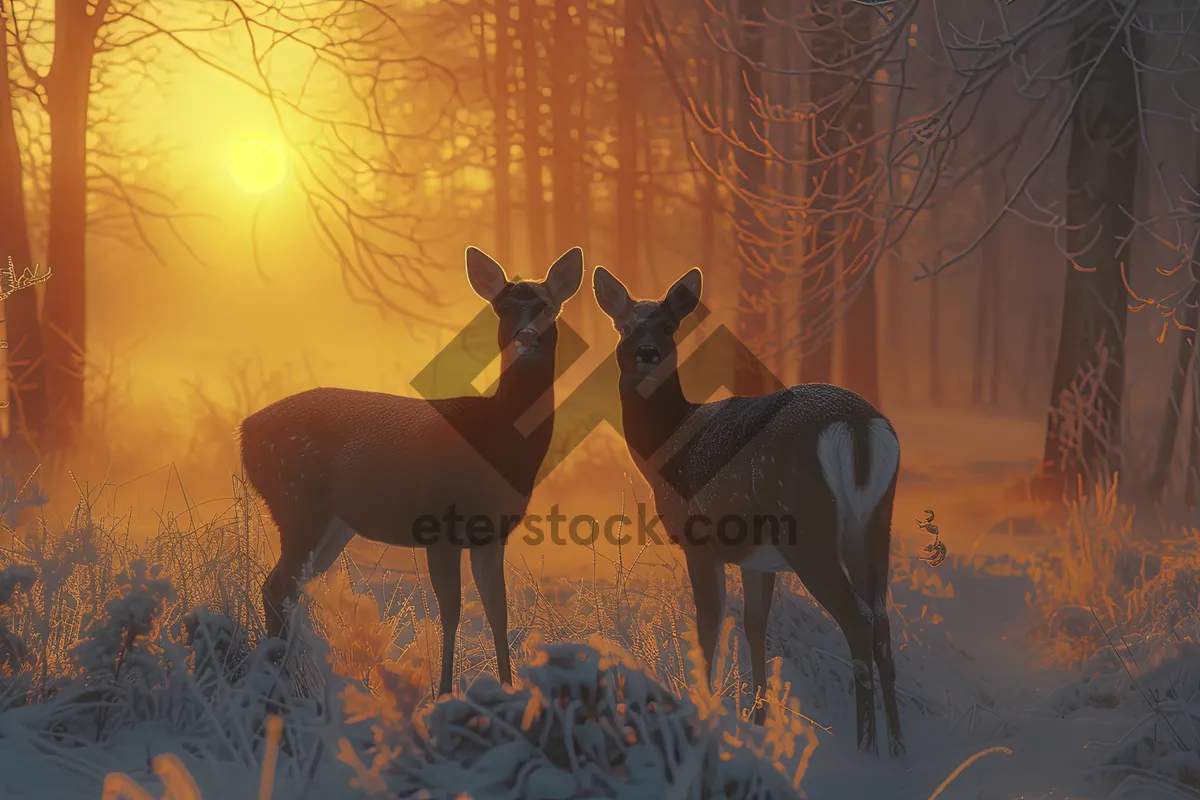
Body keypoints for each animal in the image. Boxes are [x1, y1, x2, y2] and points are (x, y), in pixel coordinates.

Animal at [238, 247, 585, 695]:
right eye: (503, 308)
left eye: (547, 307)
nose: (525, 338)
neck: (500, 441)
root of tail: (244, 433)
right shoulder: (439, 520)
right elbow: (452, 611)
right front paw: (444, 692)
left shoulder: (492, 533)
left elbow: (497, 610)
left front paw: (507, 687)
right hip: (297, 502)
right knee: (277, 586)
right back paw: (280, 680)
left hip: (333, 524)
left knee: (287, 588)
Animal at [590, 266, 902, 753]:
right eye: (623, 326)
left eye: (669, 326)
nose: (646, 353)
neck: (666, 447)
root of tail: (856, 426)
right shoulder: (758, 558)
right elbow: (756, 628)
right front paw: (758, 722)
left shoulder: (700, 541)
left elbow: (709, 627)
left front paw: (705, 709)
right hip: (875, 521)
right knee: (883, 619)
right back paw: (899, 749)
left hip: (807, 526)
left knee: (858, 617)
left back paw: (865, 748)